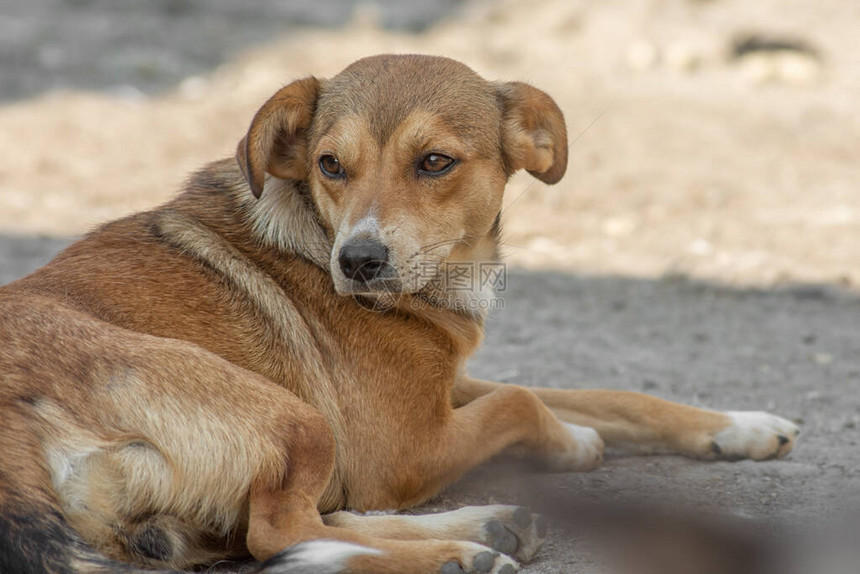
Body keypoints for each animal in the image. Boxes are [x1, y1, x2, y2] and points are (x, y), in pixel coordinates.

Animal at [0, 55, 800, 574]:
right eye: (329, 164)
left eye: (435, 162)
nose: (358, 261)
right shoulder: (405, 450)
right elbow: (526, 401)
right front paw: (571, 446)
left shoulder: (445, 391)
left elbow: (607, 396)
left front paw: (741, 426)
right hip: (294, 414)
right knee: (280, 535)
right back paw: (458, 552)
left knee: (305, 526)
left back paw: (485, 527)